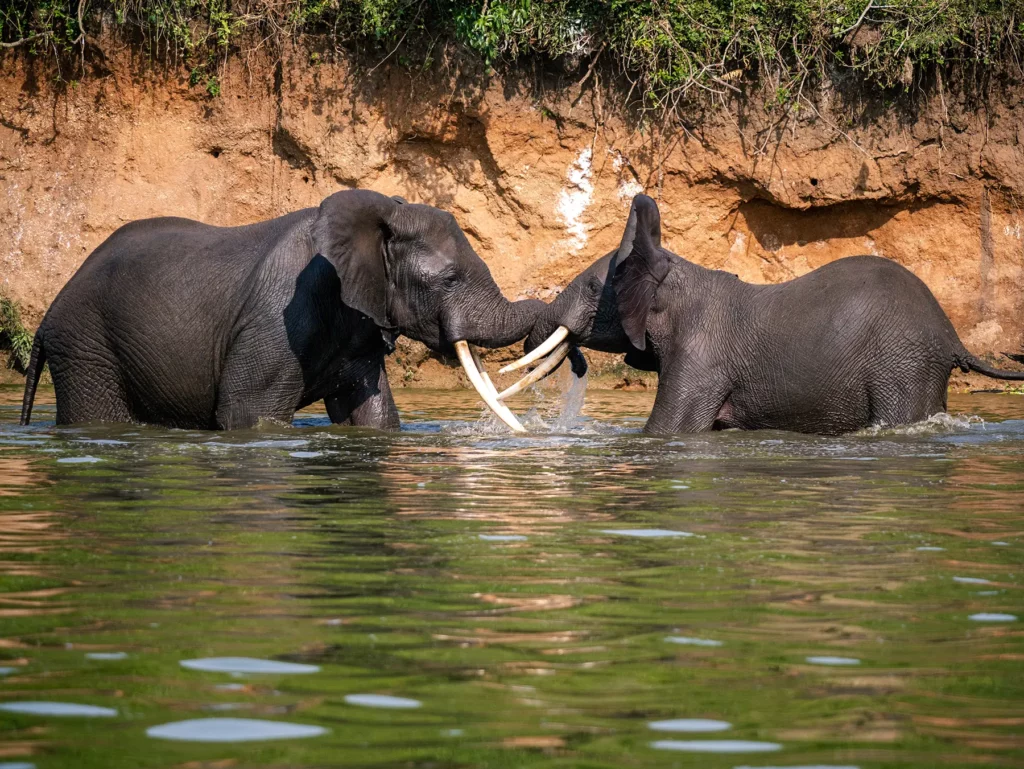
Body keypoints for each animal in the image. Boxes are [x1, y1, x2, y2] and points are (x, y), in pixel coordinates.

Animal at [20, 190, 539, 431]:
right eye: (448, 279)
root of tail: (46, 317)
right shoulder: (280, 315)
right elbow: (248, 413)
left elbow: (371, 416)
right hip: (87, 348)